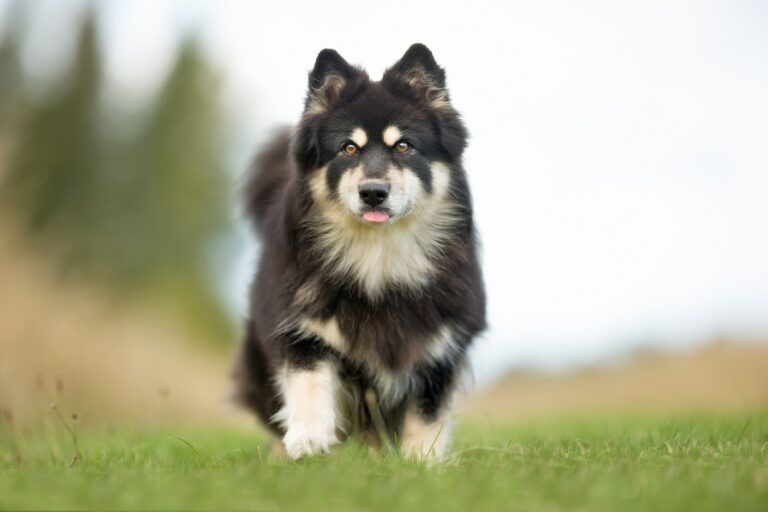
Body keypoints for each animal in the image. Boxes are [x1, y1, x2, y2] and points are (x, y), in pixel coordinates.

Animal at [234, 44, 486, 460]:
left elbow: (427, 415)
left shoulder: (440, 347)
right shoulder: (302, 331)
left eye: (404, 146)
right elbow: (309, 382)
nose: (372, 192)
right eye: (348, 148)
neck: (378, 257)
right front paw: (309, 440)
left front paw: (422, 462)